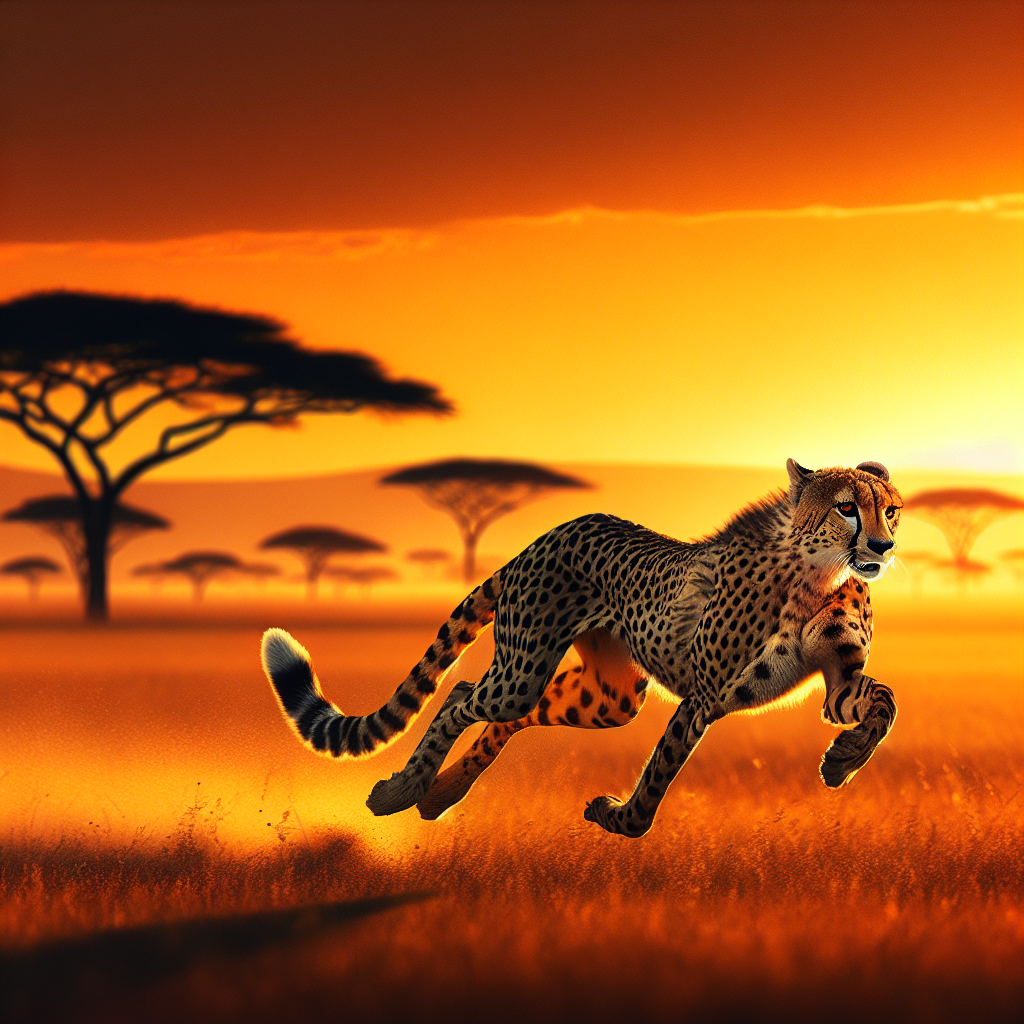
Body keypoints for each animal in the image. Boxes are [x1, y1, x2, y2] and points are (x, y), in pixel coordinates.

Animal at [260, 459, 902, 837]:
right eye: (847, 506)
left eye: (889, 508)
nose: (882, 545)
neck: (821, 574)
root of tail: (549, 532)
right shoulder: (703, 696)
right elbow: (660, 773)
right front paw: (621, 818)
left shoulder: (838, 683)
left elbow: (881, 702)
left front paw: (843, 760)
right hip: (523, 670)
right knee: (464, 693)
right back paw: (405, 788)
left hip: (608, 698)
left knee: (506, 712)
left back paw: (441, 793)